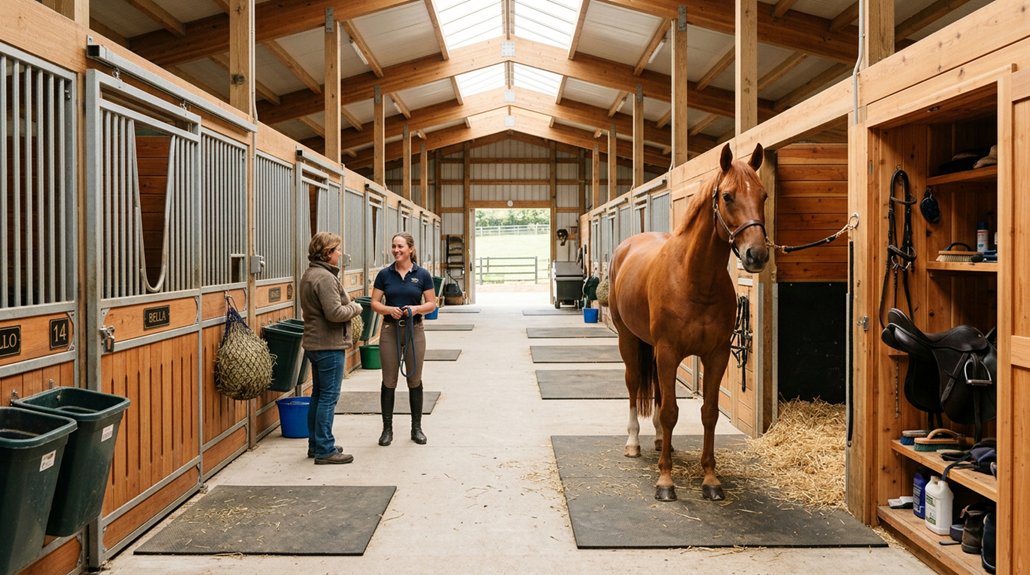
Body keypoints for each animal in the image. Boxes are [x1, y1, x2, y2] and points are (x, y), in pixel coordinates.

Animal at [608, 142, 769, 502]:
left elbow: (708, 413)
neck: (694, 279)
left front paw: (710, 479)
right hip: (629, 341)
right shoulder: (669, 352)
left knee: (656, 392)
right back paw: (633, 442)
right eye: (727, 196)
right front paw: (665, 482)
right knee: (633, 384)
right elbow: (671, 412)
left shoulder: (716, 355)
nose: (757, 255)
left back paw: (657, 441)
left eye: (763, 195)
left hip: (653, 348)